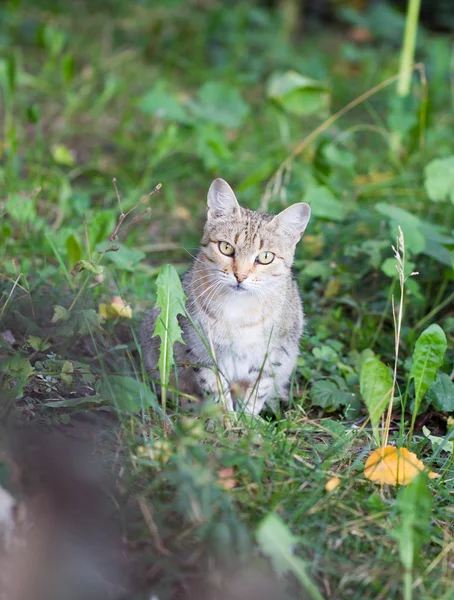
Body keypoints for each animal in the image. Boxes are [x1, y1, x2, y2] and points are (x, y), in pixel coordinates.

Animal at [141, 177, 312, 412]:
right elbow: (216, 392)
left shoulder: (271, 358)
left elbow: (257, 393)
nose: (240, 275)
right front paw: (226, 419)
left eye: (265, 257)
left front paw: (248, 419)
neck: (238, 311)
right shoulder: (202, 353)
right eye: (226, 248)